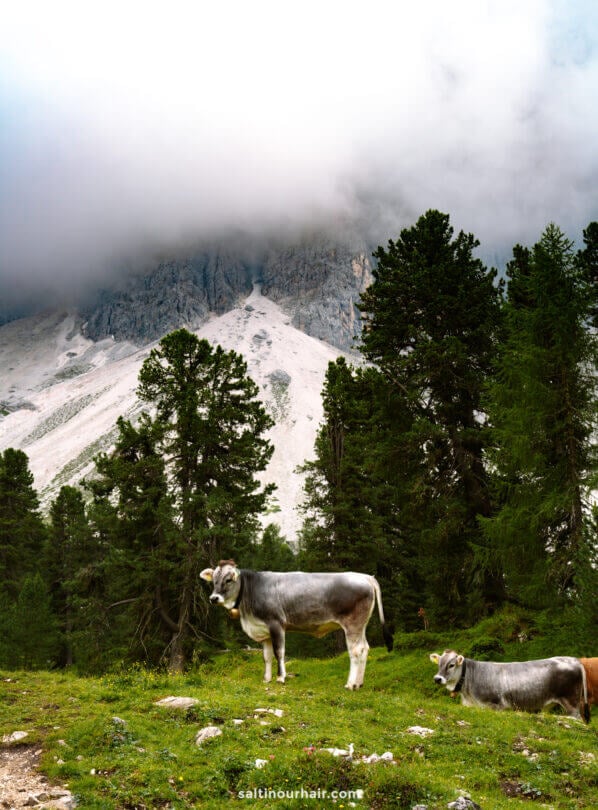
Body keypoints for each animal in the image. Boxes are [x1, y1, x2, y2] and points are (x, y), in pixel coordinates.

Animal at [200, 560, 393, 689]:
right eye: (214, 580)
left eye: (229, 579)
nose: (213, 598)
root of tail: (365, 576)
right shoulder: (264, 630)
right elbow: (267, 657)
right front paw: (266, 678)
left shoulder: (276, 624)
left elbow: (279, 653)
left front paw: (280, 678)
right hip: (361, 625)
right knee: (365, 648)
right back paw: (359, 683)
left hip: (352, 624)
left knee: (356, 651)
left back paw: (351, 684)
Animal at [430, 649, 590, 723]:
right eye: (439, 664)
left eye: (451, 665)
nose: (437, 678)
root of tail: (574, 659)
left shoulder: (495, 705)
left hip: (571, 702)